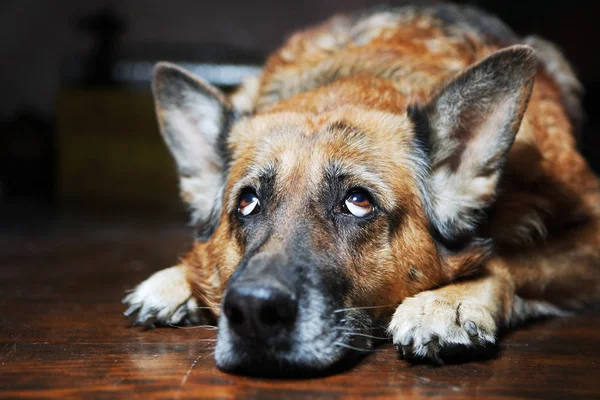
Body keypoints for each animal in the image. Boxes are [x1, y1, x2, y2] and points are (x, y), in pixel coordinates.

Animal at [123, 3, 600, 376]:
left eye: (357, 202)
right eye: (248, 202)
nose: (254, 312)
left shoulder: (589, 234)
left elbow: (506, 259)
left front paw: (447, 302)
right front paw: (177, 279)